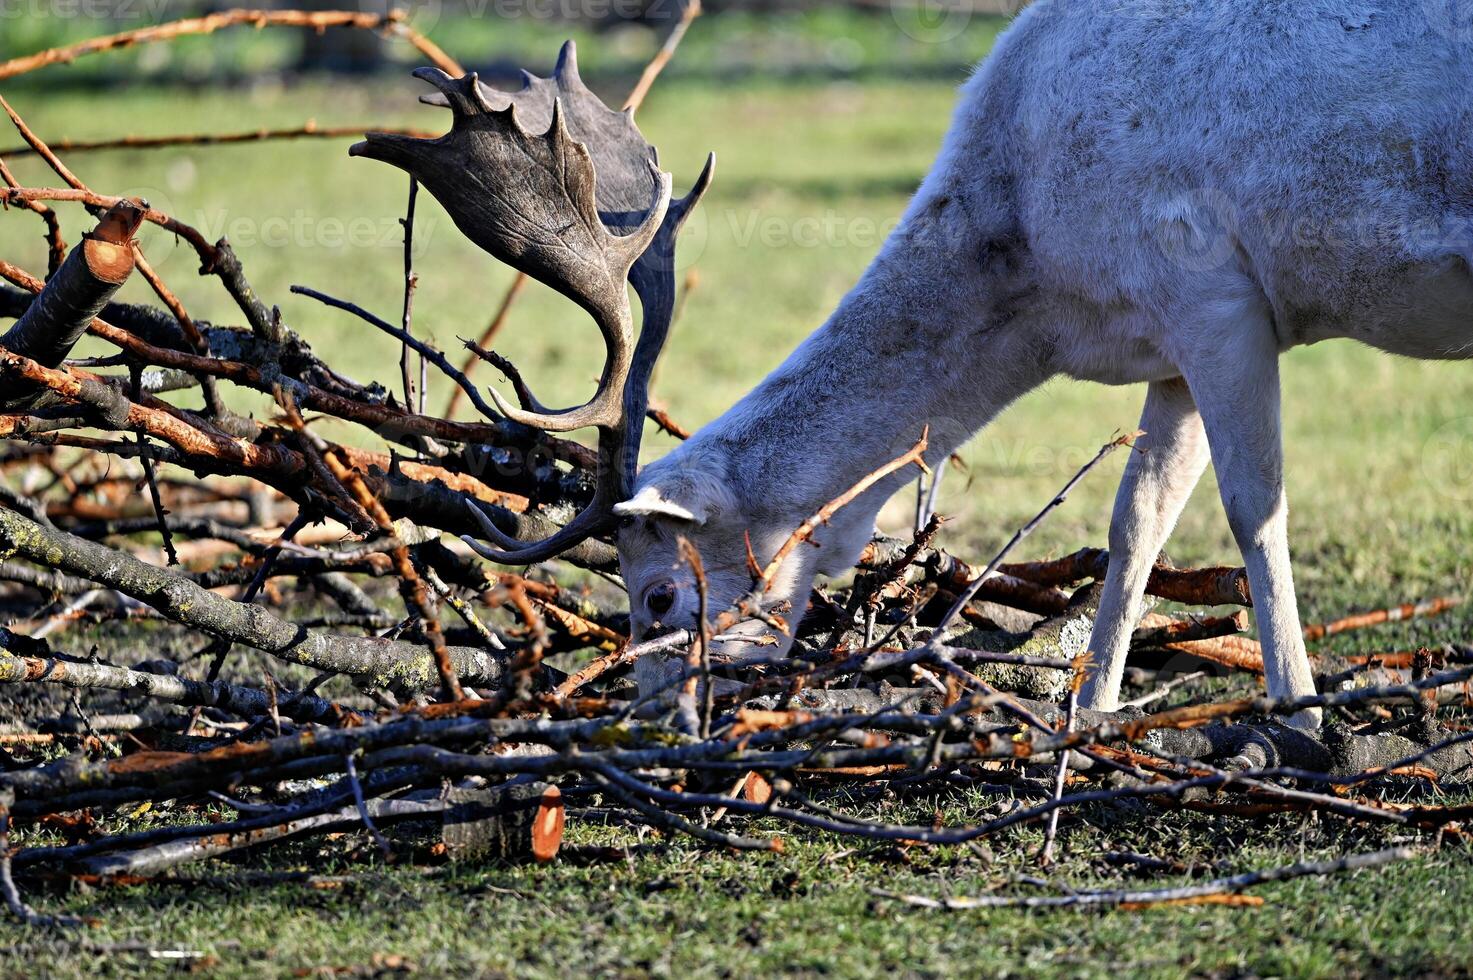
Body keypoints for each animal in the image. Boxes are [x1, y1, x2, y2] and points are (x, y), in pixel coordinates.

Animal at [606, 0, 1473, 719]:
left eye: (657, 596)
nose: (655, 718)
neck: (1044, 297)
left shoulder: (1214, 295)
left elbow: (1253, 509)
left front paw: (1297, 713)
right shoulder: (1173, 341)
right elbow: (1138, 517)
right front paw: (1089, 712)